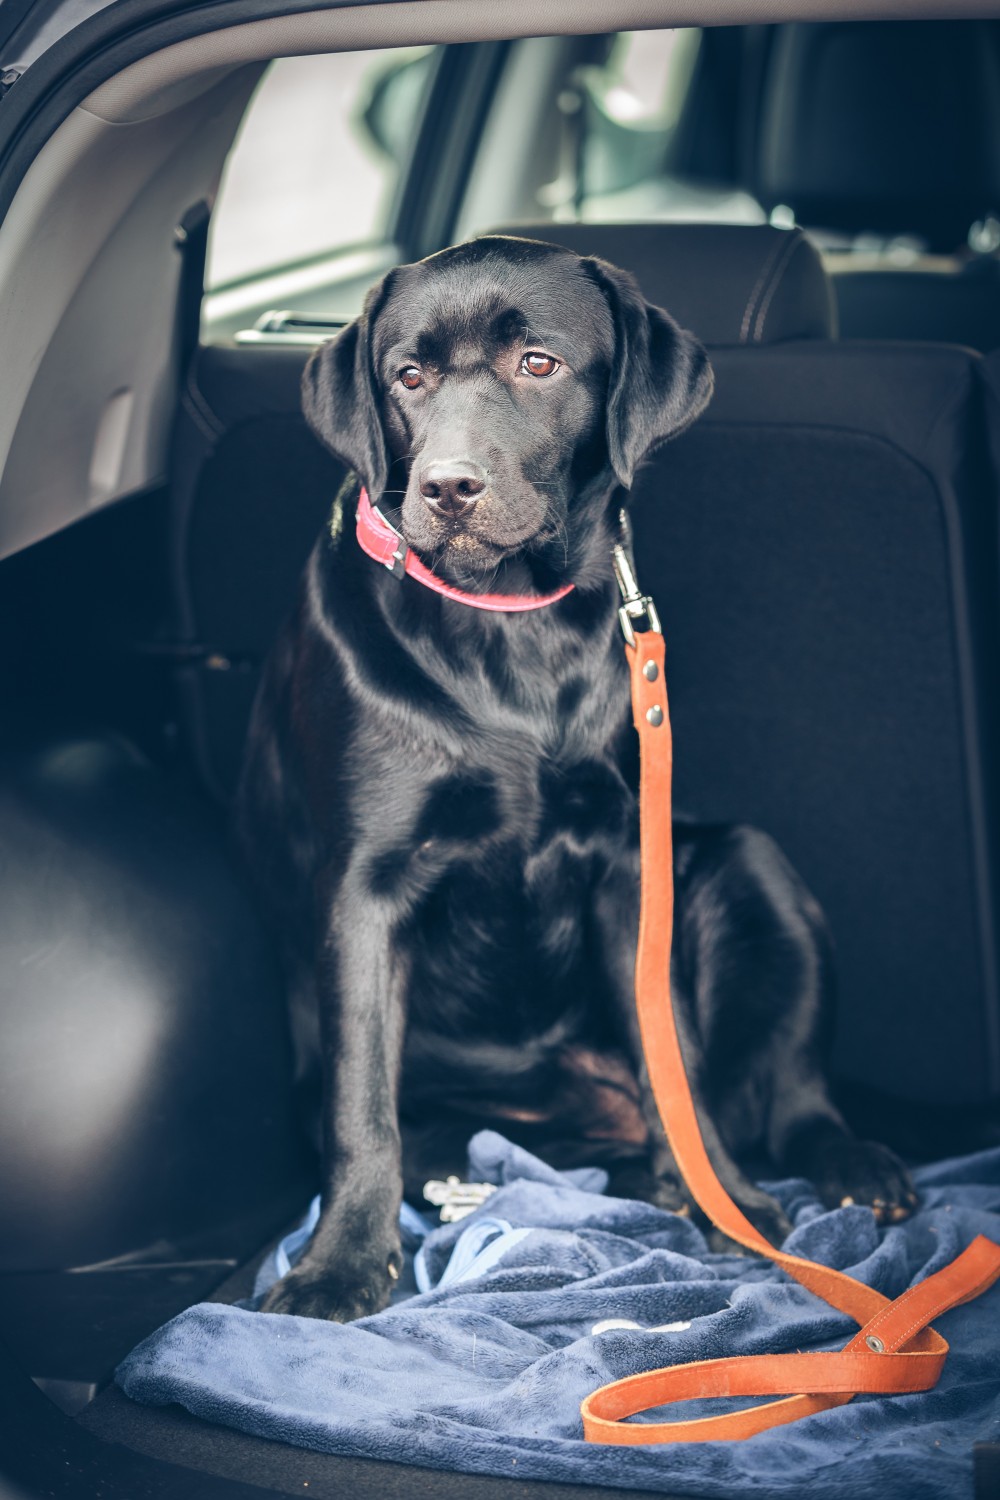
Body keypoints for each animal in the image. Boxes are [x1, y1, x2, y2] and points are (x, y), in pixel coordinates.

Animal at [238, 234, 917, 1326]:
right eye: (408, 377)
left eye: (539, 365)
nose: (449, 487)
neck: (511, 630)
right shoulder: (363, 889)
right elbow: (362, 1103)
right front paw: (339, 1265)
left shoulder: (628, 863)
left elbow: (669, 1051)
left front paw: (725, 1199)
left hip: (752, 867)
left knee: (787, 1098)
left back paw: (845, 1165)